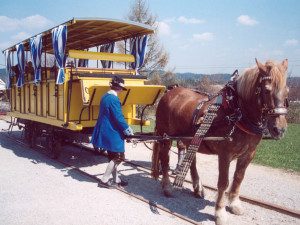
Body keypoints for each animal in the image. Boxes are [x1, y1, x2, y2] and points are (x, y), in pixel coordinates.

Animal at [151, 59, 290, 224]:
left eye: (287, 91)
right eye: (267, 90)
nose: (279, 129)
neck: (237, 111)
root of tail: (170, 91)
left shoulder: (249, 154)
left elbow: (238, 178)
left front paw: (235, 204)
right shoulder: (225, 154)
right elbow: (223, 182)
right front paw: (220, 212)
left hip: (189, 137)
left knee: (192, 160)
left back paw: (197, 187)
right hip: (165, 137)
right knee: (165, 159)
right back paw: (167, 187)